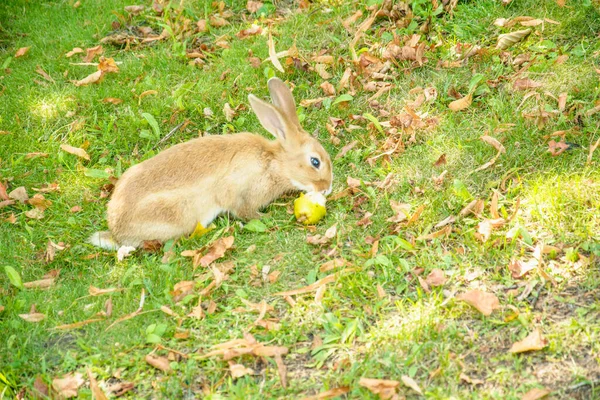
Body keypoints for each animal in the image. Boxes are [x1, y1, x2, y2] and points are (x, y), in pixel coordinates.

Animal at [89, 76, 332, 248]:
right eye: (315, 162)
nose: (327, 189)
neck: (274, 163)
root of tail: (117, 231)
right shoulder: (240, 193)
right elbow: (244, 211)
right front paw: (266, 217)